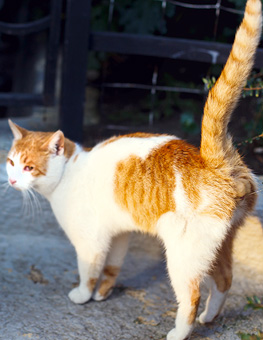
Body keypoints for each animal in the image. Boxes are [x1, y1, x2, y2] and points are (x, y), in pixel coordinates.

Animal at [5, 0, 262, 340]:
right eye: (10, 161)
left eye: (29, 167)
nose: (11, 180)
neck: (71, 172)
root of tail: (211, 160)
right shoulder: (119, 232)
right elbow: (112, 267)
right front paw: (103, 294)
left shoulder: (90, 241)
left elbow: (89, 270)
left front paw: (83, 296)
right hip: (217, 246)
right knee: (225, 279)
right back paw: (209, 316)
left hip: (184, 255)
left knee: (191, 295)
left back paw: (181, 330)